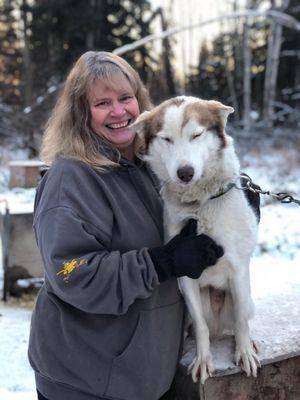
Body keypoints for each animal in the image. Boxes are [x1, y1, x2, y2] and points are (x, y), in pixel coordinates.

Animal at [132, 96, 258, 384]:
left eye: (197, 135)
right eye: (167, 139)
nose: (185, 172)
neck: (200, 204)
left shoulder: (238, 270)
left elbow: (242, 323)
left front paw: (244, 352)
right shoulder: (186, 274)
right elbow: (201, 327)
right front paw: (203, 359)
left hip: (244, 298)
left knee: (240, 319)